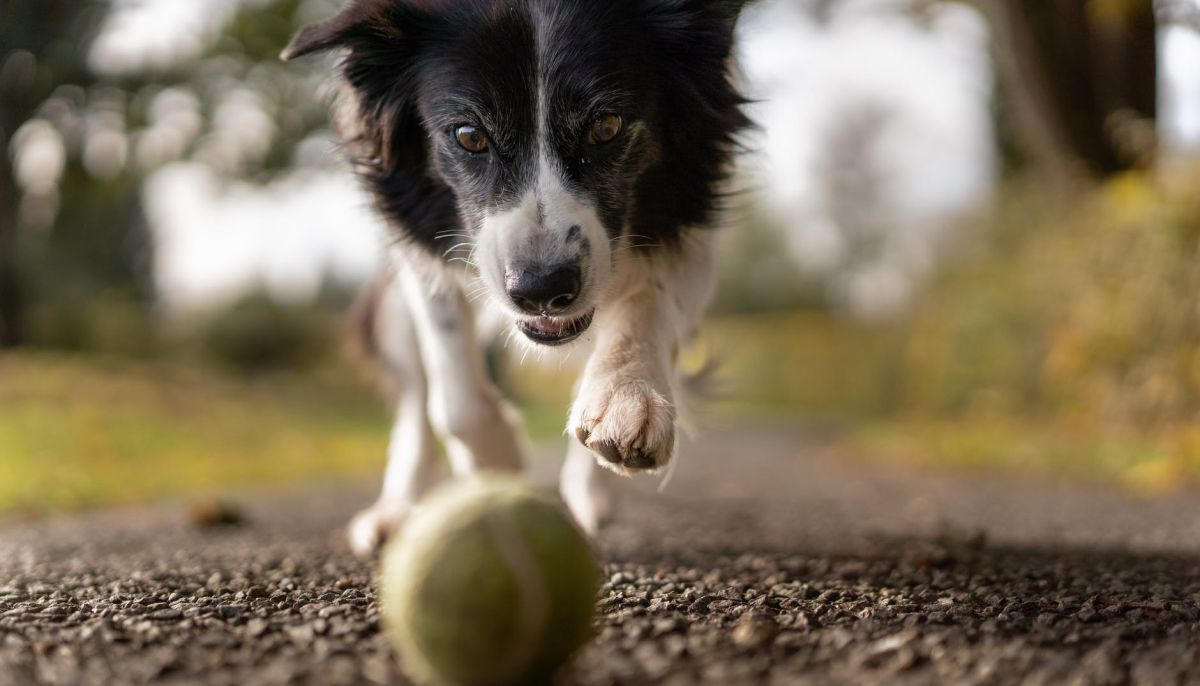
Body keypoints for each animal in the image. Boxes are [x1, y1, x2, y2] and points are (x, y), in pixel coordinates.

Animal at [283, 0, 748, 554]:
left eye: (606, 125)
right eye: (469, 136)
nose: (543, 290)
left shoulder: (692, 218)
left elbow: (646, 300)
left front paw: (626, 399)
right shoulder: (418, 244)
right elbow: (453, 396)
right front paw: (498, 468)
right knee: (416, 399)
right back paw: (395, 513)